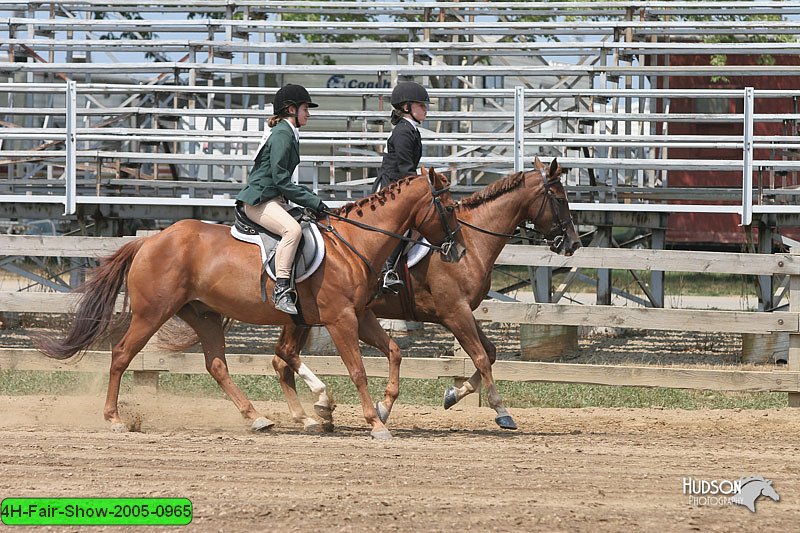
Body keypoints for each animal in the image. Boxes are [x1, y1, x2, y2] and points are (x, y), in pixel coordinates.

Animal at [36, 168, 462, 438]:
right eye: (448, 208)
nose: (457, 250)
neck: (353, 243)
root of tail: (150, 240)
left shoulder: (359, 315)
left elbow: (393, 352)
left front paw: (383, 409)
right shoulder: (340, 318)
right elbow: (356, 370)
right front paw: (375, 423)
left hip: (203, 314)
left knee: (217, 365)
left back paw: (257, 418)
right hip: (152, 312)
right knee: (122, 354)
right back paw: (114, 419)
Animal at [272, 156, 580, 430]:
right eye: (560, 199)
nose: (573, 244)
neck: (472, 243)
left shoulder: (462, 311)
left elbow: (489, 353)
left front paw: (452, 395)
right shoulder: (455, 312)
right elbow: (481, 357)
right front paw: (502, 411)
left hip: (305, 318)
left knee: (281, 361)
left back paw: (311, 413)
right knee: (283, 358)